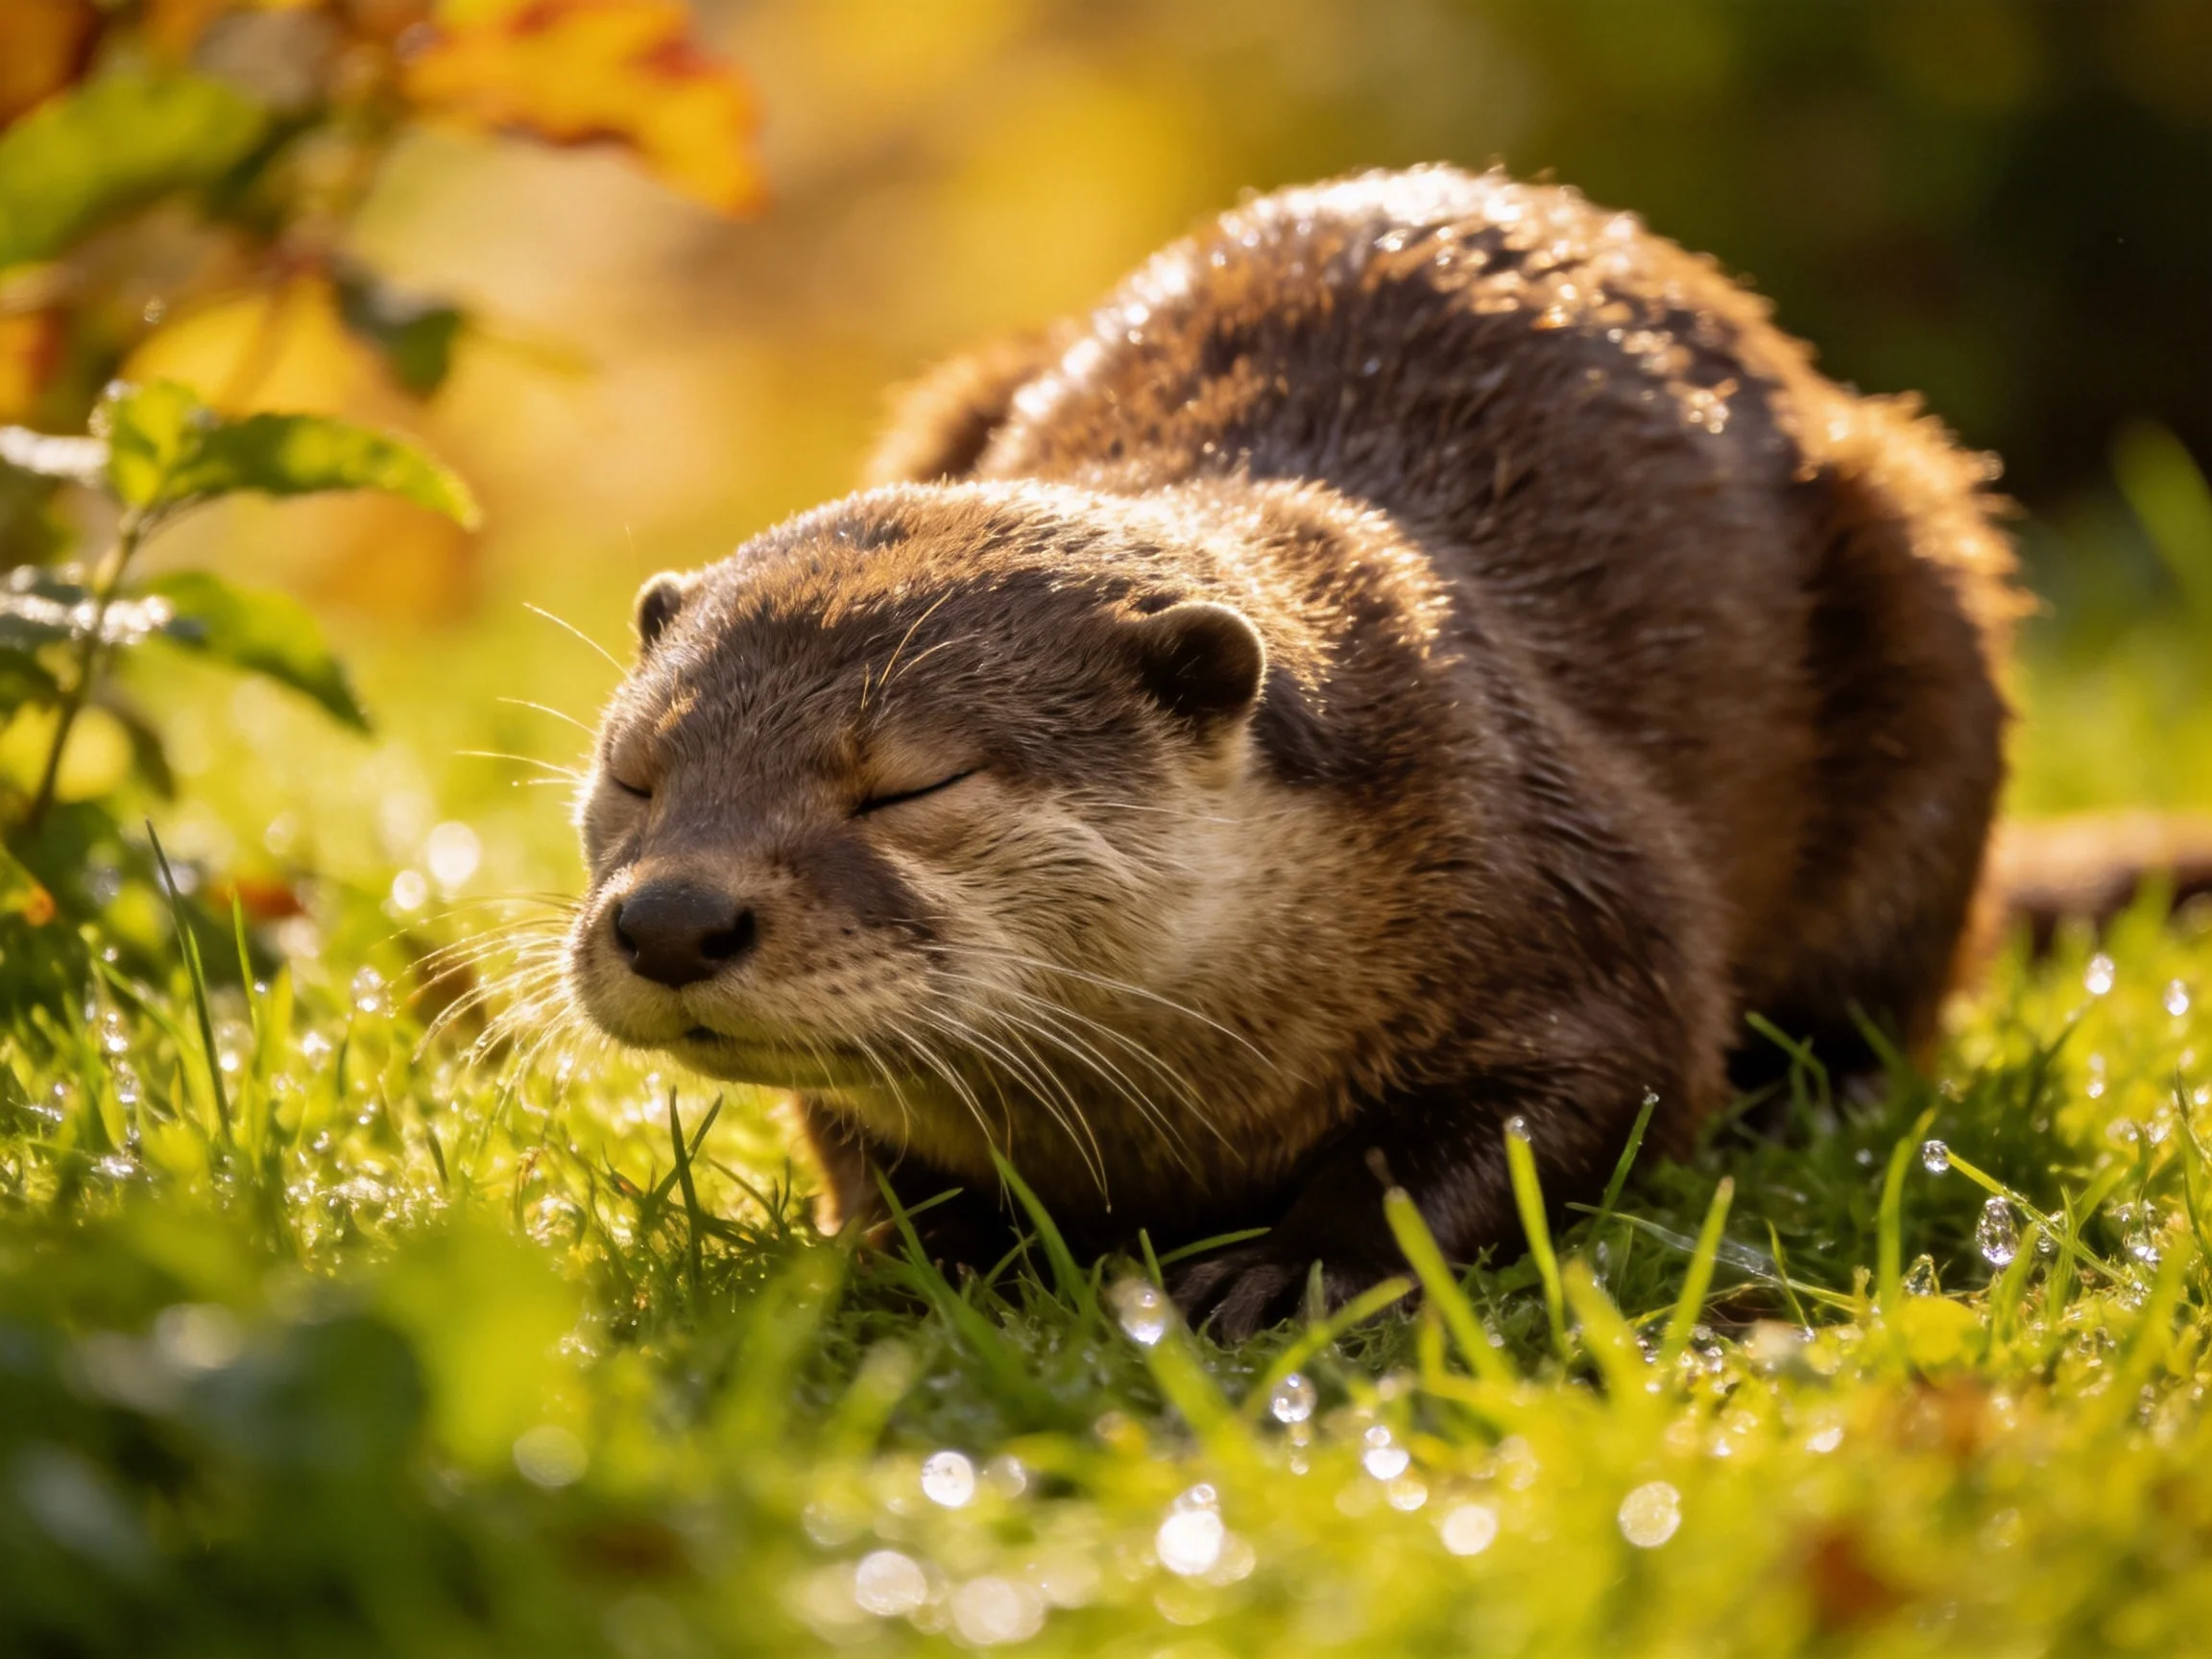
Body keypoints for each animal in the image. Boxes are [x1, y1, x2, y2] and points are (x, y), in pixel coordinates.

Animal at [564, 166, 2023, 1337]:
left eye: (908, 784)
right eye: (636, 775)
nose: (672, 917)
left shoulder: (1563, 876)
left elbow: (1605, 1082)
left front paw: (1293, 1271)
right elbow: (864, 1150)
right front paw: (941, 1267)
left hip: (1916, 565)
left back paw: (1815, 1100)